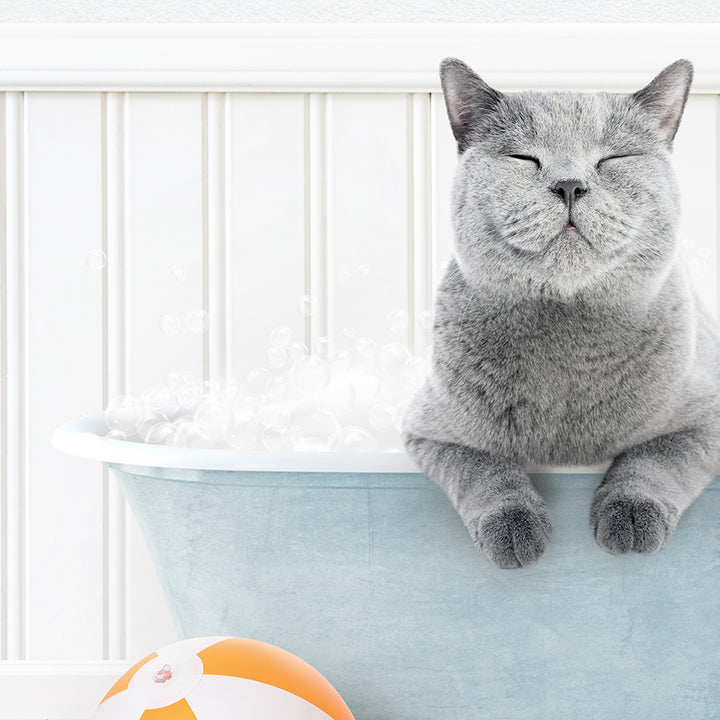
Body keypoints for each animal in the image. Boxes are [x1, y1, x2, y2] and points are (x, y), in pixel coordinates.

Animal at [402, 57, 720, 568]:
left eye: (612, 159)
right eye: (523, 158)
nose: (570, 185)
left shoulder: (707, 416)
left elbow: (655, 458)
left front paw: (630, 517)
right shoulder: (433, 431)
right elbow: (484, 468)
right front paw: (515, 528)